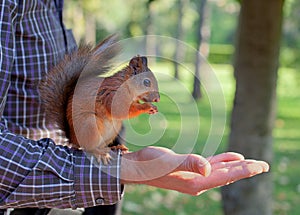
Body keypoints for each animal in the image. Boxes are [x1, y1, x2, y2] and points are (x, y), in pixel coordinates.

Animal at [40, 34, 161, 164]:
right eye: (146, 82)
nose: (157, 99)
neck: (124, 84)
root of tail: (73, 139)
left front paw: (153, 108)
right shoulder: (112, 95)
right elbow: (121, 109)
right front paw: (147, 107)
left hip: (113, 130)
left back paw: (116, 147)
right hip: (90, 125)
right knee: (88, 147)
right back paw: (99, 153)